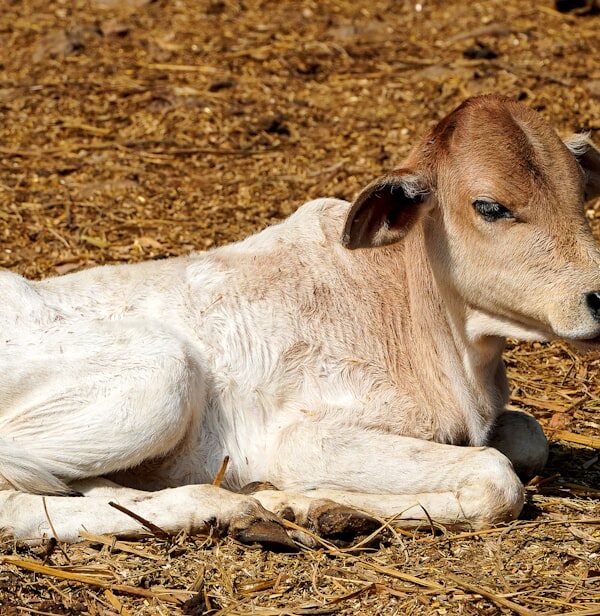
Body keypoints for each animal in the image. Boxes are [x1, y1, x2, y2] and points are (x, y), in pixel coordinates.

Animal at [0, 94, 599, 548]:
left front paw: (306, 504)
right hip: (160, 377)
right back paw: (230, 508)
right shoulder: (303, 435)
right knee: (17, 501)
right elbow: (495, 477)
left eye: (581, 197)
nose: (598, 297)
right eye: (490, 207)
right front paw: (317, 503)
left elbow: (529, 437)